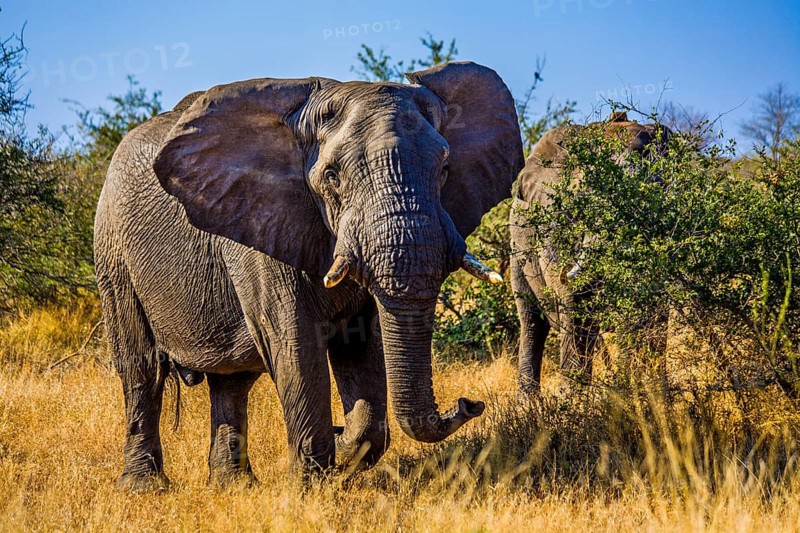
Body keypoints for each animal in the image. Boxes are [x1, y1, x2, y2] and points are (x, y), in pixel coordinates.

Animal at [94, 61, 523, 492]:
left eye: (445, 169)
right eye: (332, 176)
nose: (470, 403)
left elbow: (362, 343)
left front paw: (347, 450)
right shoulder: (259, 234)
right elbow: (295, 343)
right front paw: (312, 489)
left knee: (230, 382)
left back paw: (233, 487)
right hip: (113, 251)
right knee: (141, 369)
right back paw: (143, 489)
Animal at [509, 112, 668, 395]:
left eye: (658, 189)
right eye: (586, 196)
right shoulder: (553, 220)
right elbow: (574, 301)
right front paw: (573, 399)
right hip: (517, 249)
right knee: (532, 322)